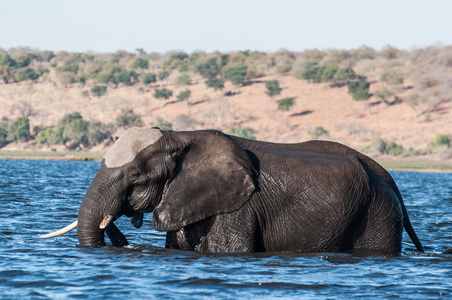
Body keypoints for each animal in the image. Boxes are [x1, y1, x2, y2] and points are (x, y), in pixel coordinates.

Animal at [40, 127, 426, 254]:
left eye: (134, 175)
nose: (115, 220)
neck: (178, 137)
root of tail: (387, 176)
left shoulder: (237, 207)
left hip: (377, 213)